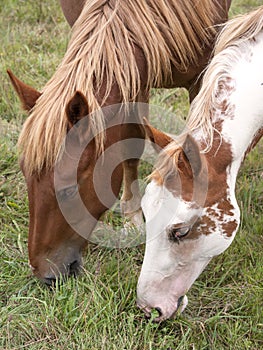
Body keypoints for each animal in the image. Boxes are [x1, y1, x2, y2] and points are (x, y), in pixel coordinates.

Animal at [7, 0, 231, 284]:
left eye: (67, 189)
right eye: (25, 177)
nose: (45, 274)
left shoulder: (199, 77)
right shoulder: (132, 78)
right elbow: (129, 143)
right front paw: (133, 216)